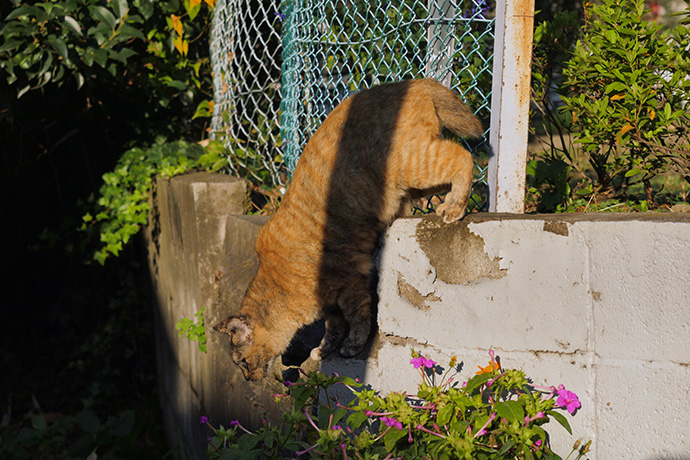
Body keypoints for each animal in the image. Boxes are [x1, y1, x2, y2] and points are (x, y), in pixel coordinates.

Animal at [214, 80, 478, 380]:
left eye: (242, 362)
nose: (247, 379)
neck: (279, 282)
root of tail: (409, 81)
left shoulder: (351, 282)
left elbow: (358, 318)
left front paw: (352, 346)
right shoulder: (331, 304)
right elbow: (333, 328)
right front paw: (324, 350)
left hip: (415, 164)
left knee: (462, 155)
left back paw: (454, 207)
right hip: (415, 182)